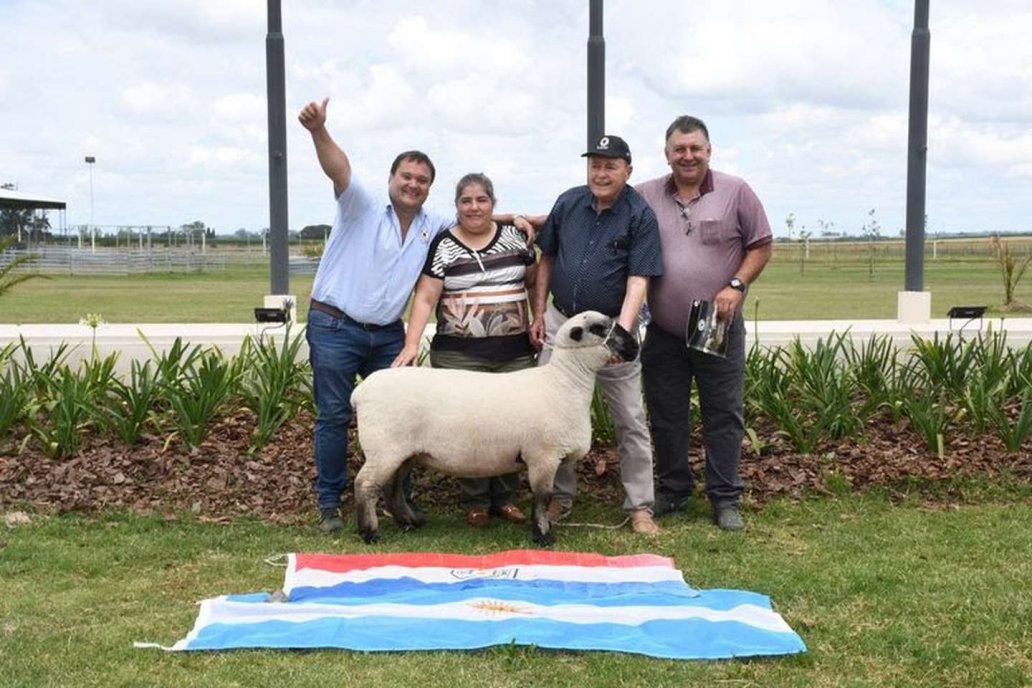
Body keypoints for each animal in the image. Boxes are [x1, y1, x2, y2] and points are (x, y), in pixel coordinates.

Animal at [348, 309, 635, 544]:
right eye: (599, 329)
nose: (634, 347)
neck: (563, 382)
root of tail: (360, 391)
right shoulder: (542, 456)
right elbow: (542, 498)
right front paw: (543, 536)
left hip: (402, 451)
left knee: (391, 487)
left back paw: (410, 523)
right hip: (384, 448)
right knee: (365, 485)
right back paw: (370, 534)